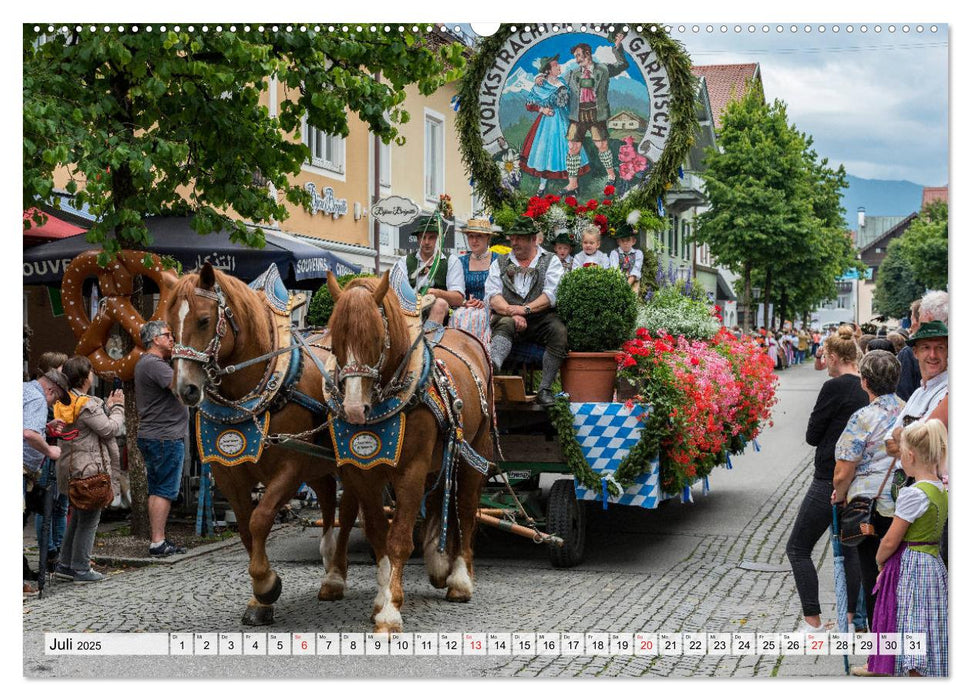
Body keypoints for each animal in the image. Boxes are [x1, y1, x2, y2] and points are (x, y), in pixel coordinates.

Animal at [170, 266, 356, 628]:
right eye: (169, 323)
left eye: (203, 320)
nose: (185, 389)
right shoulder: (228, 473)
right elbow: (245, 529)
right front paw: (259, 598)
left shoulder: (289, 468)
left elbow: (261, 520)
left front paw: (267, 586)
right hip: (318, 465)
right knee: (329, 499)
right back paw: (328, 562)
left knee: (350, 510)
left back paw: (335, 576)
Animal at [326, 272, 494, 636]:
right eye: (334, 342)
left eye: (377, 338)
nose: (354, 409)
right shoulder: (363, 474)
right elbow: (378, 534)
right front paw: (382, 597)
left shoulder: (411, 471)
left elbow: (400, 538)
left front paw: (391, 610)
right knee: (441, 501)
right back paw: (439, 562)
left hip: (474, 452)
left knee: (465, 507)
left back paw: (460, 579)